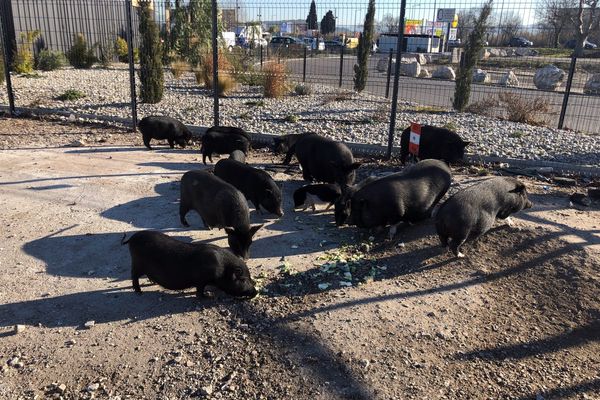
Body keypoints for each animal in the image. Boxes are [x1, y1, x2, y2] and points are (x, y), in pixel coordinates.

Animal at [120, 230, 256, 298]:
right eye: (243, 279)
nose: (255, 292)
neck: (222, 269)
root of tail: (131, 239)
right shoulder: (201, 280)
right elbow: (199, 292)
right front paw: (209, 296)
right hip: (137, 263)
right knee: (134, 276)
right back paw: (139, 292)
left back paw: (152, 283)